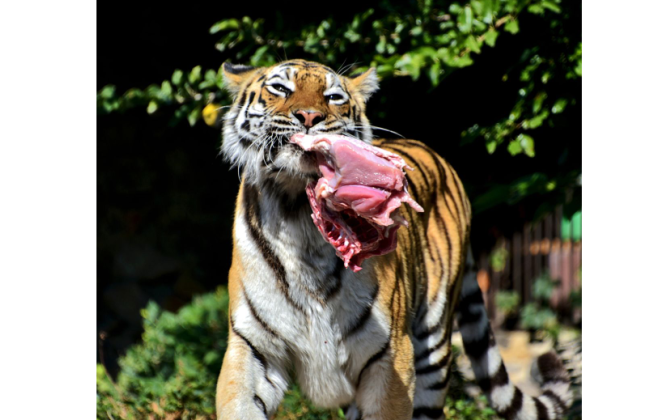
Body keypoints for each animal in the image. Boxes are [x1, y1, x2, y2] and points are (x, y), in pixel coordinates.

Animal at [215, 60, 568, 420]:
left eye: (333, 96)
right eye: (280, 89)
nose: (309, 117)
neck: (298, 213)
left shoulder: (389, 354)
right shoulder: (252, 345)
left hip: (433, 343)